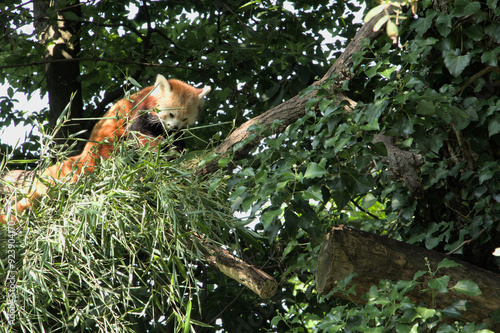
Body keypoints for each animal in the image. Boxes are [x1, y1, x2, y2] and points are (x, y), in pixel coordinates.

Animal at [0, 74, 211, 224]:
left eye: (184, 118)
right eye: (171, 114)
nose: (173, 127)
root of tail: (88, 152)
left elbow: (177, 142)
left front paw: (174, 153)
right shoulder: (139, 113)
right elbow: (140, 137)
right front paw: (158, 153)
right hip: (109, 145)